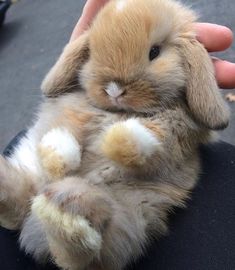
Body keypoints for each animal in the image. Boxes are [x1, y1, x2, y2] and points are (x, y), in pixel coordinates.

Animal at [0, 0, 229, 270]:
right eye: (92, 52)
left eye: (154, 52)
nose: (114, 90)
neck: (119, 111)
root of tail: (31, 226)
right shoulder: (72, 113)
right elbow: (65, 141)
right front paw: (59, 151)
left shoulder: (173, 133)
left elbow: (144, 140)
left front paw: (112, 139)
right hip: (29, 165)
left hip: (127, 218)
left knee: (79, 253)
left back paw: (65, 210)